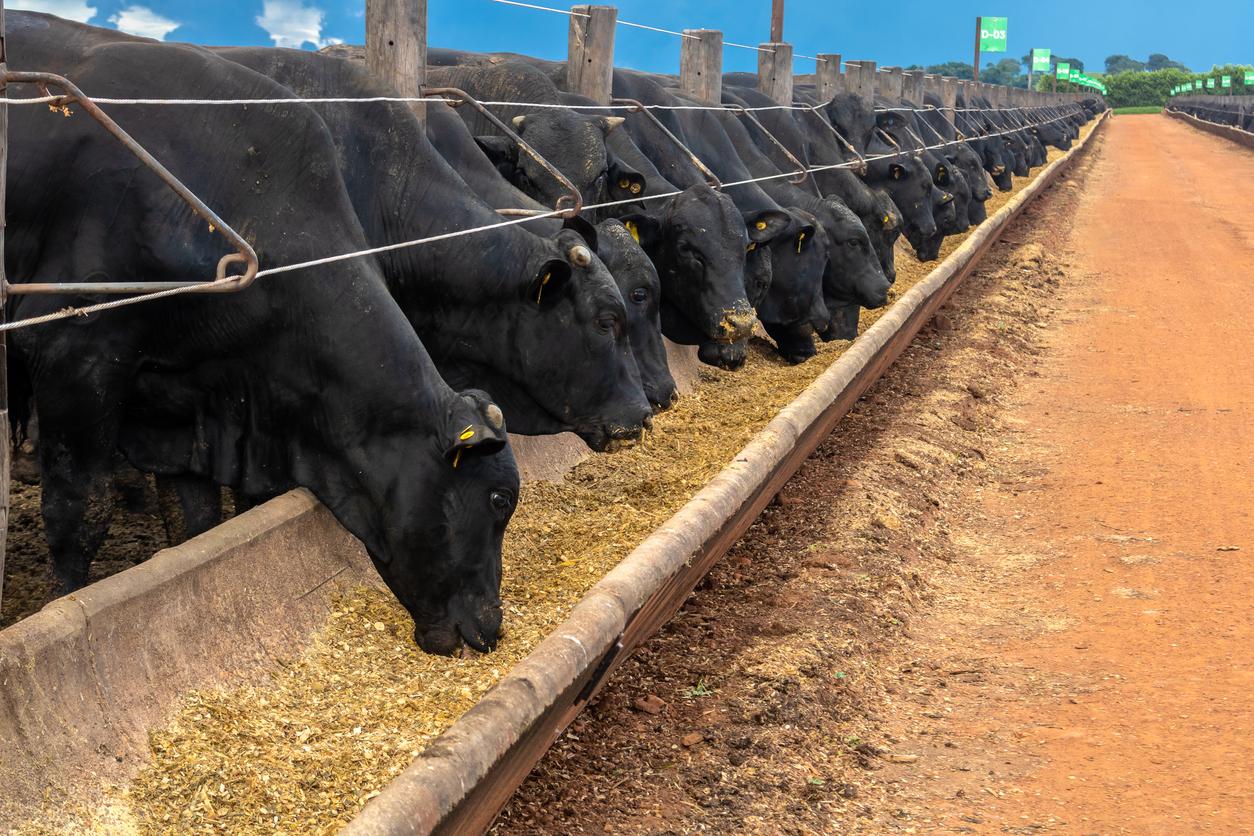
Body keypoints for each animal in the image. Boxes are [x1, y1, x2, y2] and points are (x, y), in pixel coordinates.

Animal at [6, 11, 514, 651]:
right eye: (496, 499)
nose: (492, 625)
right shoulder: (74, 353)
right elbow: (79, 513)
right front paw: (66, 605)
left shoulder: (182, 406)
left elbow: (198, 513)